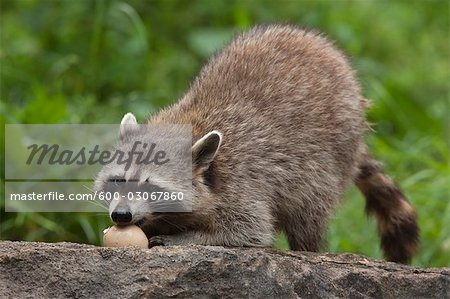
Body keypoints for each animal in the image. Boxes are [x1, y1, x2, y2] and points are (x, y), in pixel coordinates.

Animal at [95, 25, 418, 264]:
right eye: (118, 180)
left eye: (150, 187)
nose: (121, 215)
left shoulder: (244, 183)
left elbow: (248, 231)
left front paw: (187, 238)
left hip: (332, 155)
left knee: (309, 211)